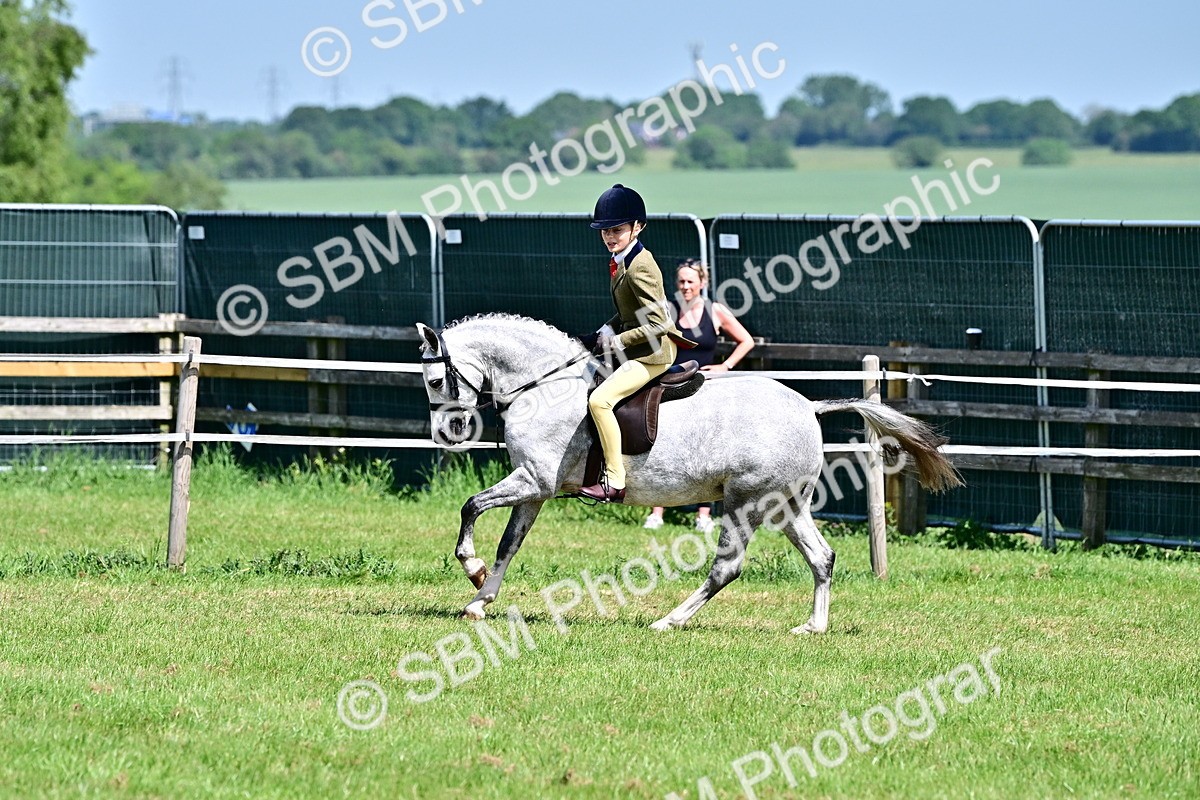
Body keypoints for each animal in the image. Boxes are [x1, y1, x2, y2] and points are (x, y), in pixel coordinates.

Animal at [416, 314, 961, 634]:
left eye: (436, 379)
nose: (450, 431)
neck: (544, 386)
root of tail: (809, 406)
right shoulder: (534, 490)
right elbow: (509, 546)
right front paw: (480, 598)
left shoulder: (533, 481)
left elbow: (469, 506)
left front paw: (470, 566)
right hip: (785, 506)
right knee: (821, 558)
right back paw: (812, 627)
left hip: (744, 502)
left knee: (727, 568)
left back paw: (668, 621)